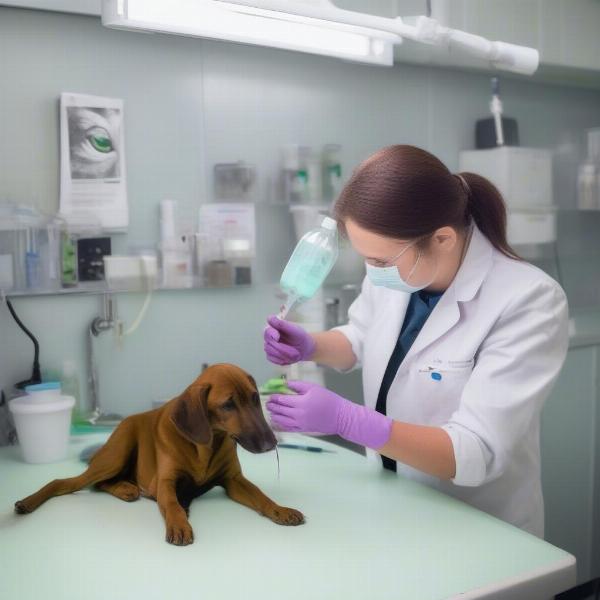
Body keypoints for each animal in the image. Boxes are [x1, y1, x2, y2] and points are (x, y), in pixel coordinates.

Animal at [14, 364, 304, 548]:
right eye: (228, 405)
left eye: (255, 398)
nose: (271, 443)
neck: (208, 445)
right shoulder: (165, 482)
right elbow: (172, 504)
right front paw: (179, 524)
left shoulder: (234, 480)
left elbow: (261, 497)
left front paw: (281, 510)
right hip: (117, 453)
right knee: (66, 482)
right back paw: (28, 502)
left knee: (100, 483)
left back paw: (126, 488)